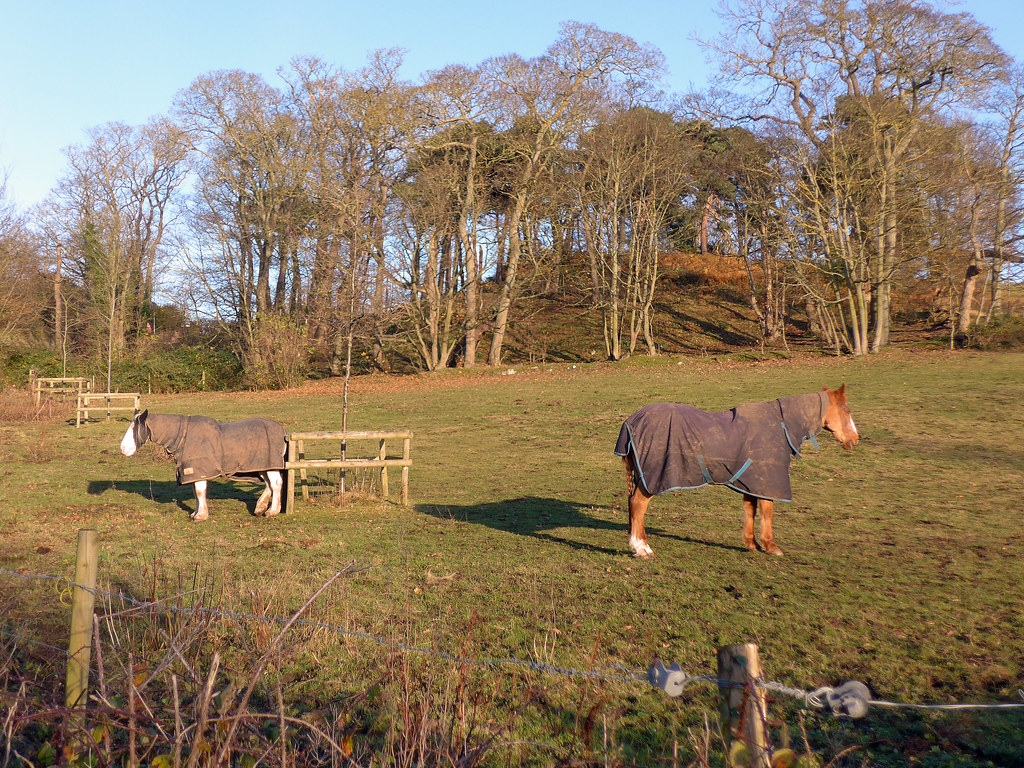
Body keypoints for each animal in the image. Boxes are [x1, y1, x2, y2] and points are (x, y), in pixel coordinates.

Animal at [119, 410, 288, 521]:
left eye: (135, 428)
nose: (123, 449)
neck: (183, 436)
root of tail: (283, 430)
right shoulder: (193, 472)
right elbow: (195, 492)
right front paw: (196, 513)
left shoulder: (198, 470)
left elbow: (199, 491)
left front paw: (200, 516)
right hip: (262, 466)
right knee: (269, 484)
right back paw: (260, 508)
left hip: (271, 466)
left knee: (276, 484)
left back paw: (272, 511)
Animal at [614, 385, 858, 558]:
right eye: (846, 410)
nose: (855, 439)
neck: (780, 426)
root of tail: (631, 421)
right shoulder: (768, 481)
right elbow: (767, 512)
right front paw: (771, 546)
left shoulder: (752, 482)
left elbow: (750, 509)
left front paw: (752, 544)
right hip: (652, 479)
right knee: (638, 505)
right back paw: (642, 549)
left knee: (633, 506)